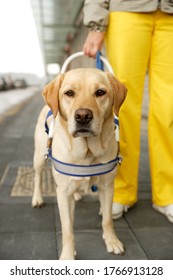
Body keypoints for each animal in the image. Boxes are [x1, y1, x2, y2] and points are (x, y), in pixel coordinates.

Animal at [31, 68, 127, 260]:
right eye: (69, 93)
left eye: (100, 92)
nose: (83, 116)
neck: (87, 152)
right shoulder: (62, 193)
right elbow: (68, 229)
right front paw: (68, 255)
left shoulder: (107, 187)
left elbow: (107, 220)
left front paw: (112, 241)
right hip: (39, 157)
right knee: (37, 176)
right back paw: (37, 199)